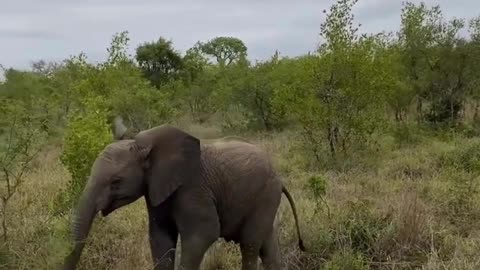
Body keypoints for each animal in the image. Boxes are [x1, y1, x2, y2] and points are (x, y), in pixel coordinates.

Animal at [62, 117, 306, 270]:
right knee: (267, 246)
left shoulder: (193, 188)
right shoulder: (156, 190)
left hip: (265, 195)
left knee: (250, 244)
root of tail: (280, 178)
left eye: (116, 181)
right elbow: (160, 237)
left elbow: (203, 233)